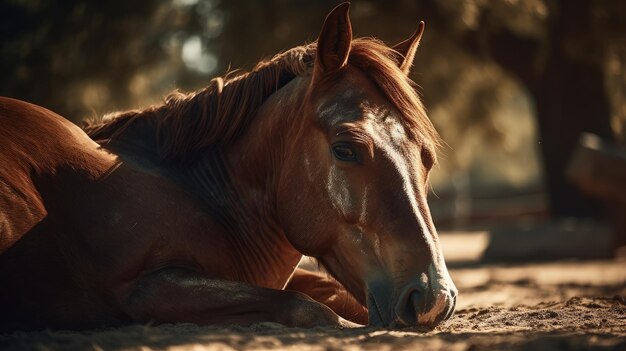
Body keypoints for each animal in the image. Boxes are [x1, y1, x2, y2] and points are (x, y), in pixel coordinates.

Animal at [1, 2, 454, 332]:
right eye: (345, 150)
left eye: (426, 158)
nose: (433, 300)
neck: (205, 197)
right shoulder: (147, 288)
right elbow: (314, 311)